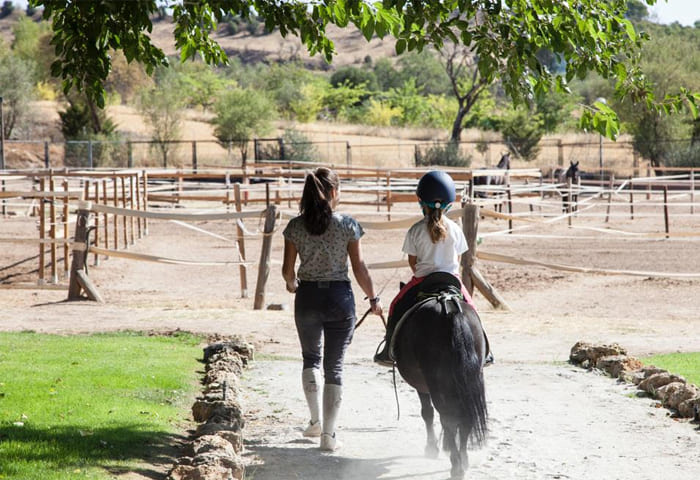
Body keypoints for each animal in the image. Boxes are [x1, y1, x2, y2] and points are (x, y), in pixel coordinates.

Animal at [392, 272, 490, 478]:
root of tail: (450, 309)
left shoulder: (422, 385)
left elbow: (427, 413)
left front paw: (432, 448)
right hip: (470, 378)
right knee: (464, 417)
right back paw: (463, 460)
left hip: (436, 382)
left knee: (447, 417)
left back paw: (456, 466)